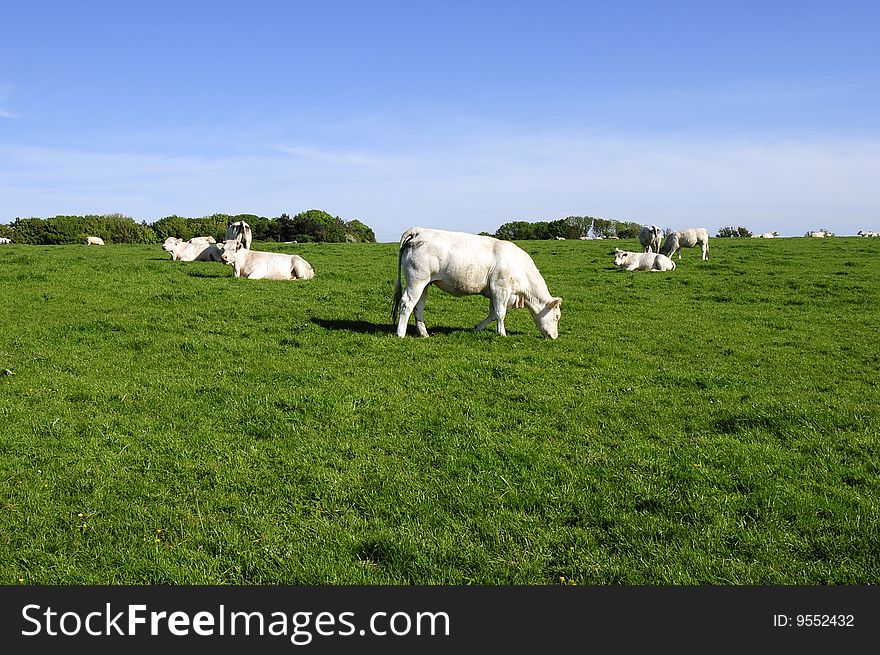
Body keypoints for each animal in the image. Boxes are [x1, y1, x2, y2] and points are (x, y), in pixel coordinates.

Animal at [392, 227, 564, 338]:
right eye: (556, 317)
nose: (554, 337)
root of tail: (419, 230)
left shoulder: (496, 293)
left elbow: (493, 314)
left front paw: (477, 328)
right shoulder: (500, 289)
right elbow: (500, 313)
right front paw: (502, 334)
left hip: (425, 284)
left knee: (418, 306)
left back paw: (424, 333)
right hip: (416, 281)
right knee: (407, 303)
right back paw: (401, 333)